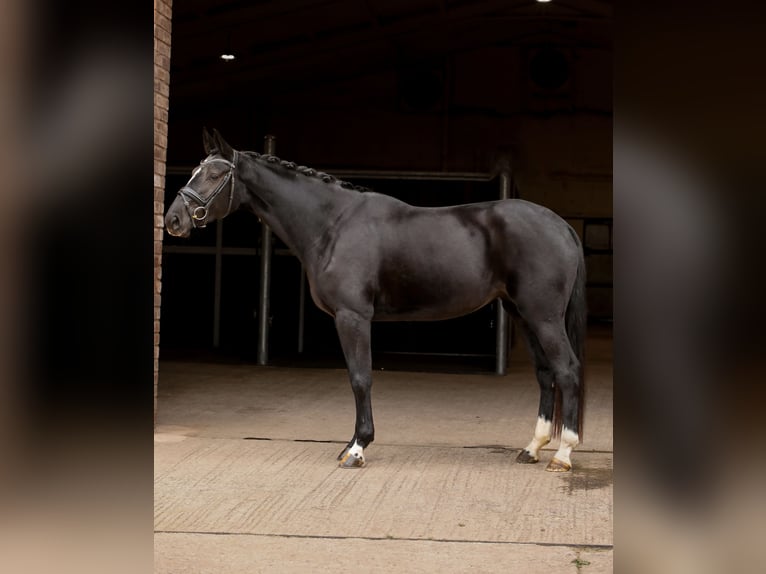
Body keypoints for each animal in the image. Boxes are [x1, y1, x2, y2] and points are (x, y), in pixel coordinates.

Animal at [165, 128, 586, 472]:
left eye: (215, 174)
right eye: (194, 171)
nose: (173, 220)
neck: (332, 224)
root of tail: (561, 225)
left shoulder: (352, 317)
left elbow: (360, 378)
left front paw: (357, 449)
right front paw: (351, 445)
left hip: (543, 316)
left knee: (566, 369)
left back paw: (564, 454)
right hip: (521, 313)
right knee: (545, 373)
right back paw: (533, 448)